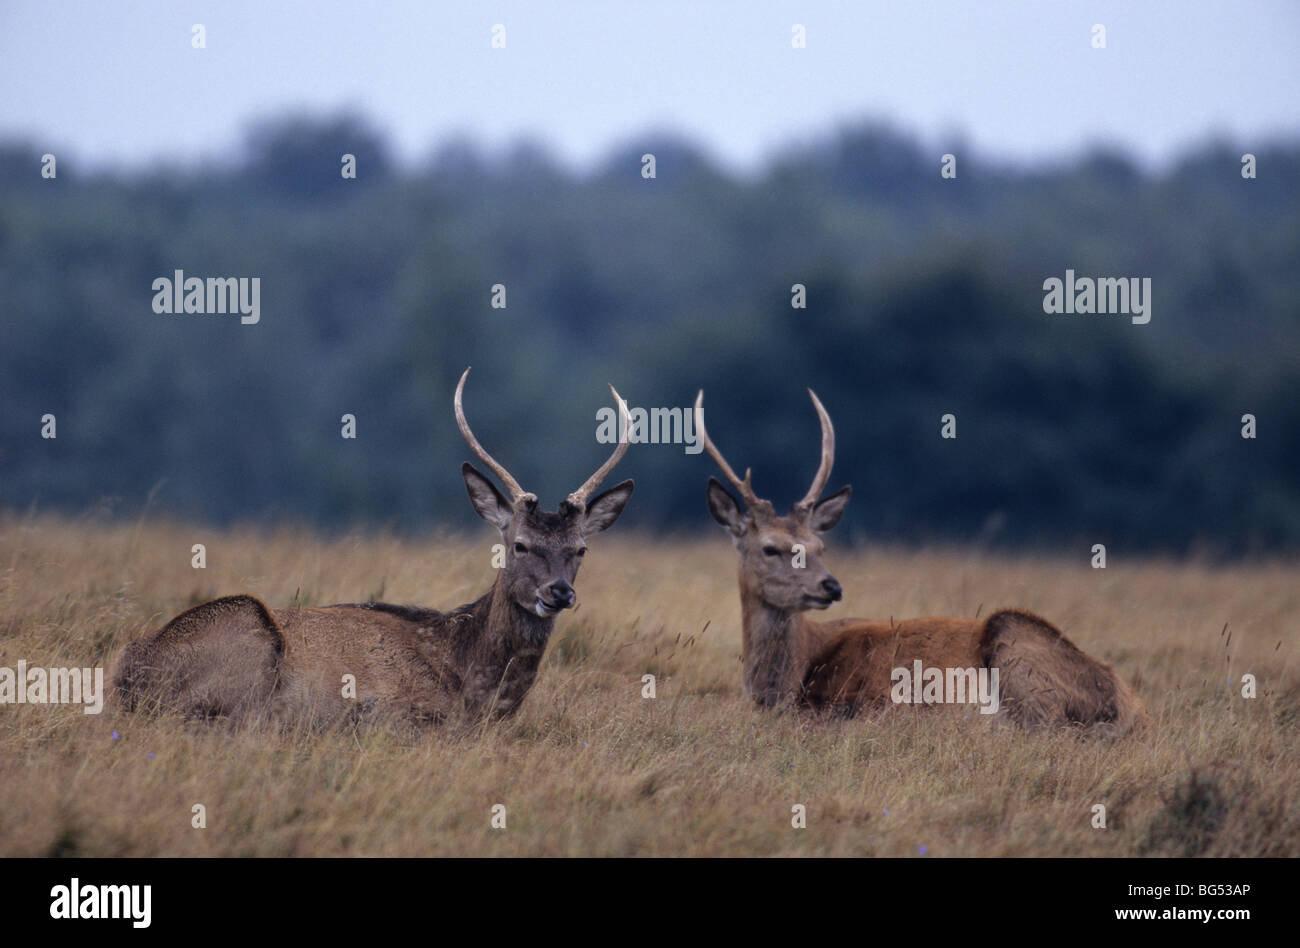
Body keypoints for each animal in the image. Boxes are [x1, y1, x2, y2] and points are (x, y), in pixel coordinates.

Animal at [111, 366, 634, 728]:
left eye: (581, 549)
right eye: (520, 545)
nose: (559, 592)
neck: (470, 685)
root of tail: (125, 673)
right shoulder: (395, 710)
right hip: (246, 632)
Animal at [696, 384, 1144, 733]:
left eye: (820, 547)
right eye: (770, 547)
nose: (831, 586)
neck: (790, 682)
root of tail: (1131, 707)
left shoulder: (868, 701)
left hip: (1015, 646)